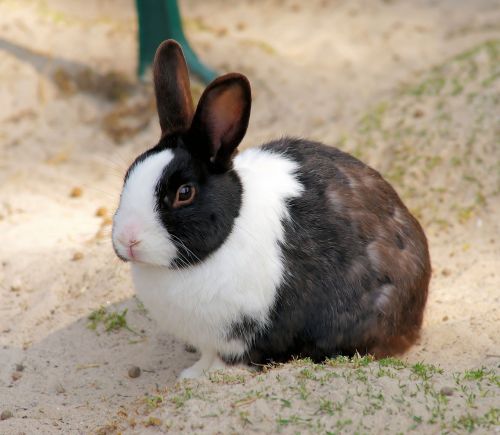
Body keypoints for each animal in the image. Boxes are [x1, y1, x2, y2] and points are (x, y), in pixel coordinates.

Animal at [112, 41, 430, 380]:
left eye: (184, 193)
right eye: (128, 175)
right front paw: (193, 375)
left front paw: (211, 379)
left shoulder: (243, 334)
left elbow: (231, 359)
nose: (128, 240)